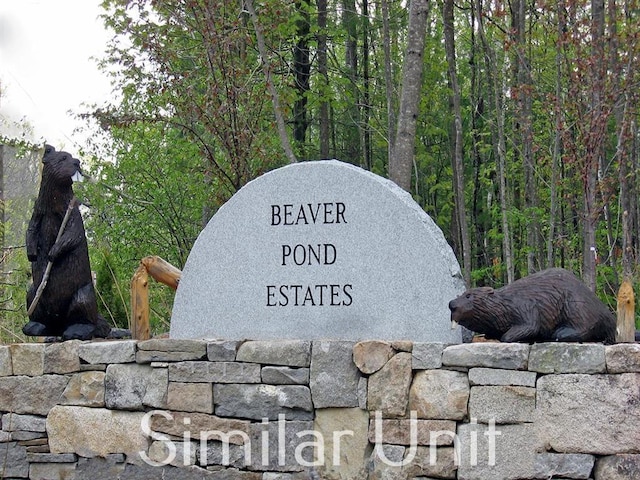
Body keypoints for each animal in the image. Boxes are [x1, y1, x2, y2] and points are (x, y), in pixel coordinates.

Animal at [448, 268, 616, 344]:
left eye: (468, 295)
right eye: (462, 293)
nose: (451, 304)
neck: (504, 302)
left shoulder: (524, 306)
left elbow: (530, 325)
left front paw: (507, 336)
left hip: (575, 304)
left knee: (584, 325)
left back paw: (560, 333)